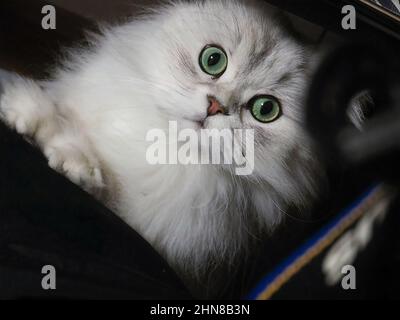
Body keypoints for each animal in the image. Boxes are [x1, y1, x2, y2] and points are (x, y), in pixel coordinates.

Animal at [0, 0, 324, 296]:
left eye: (265, 109)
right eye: (213, 60)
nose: (215, 106)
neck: (161, 150)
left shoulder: (134, 221)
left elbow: (85, 160)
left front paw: (70, 159)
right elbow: (61, 115)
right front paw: (22, 109)